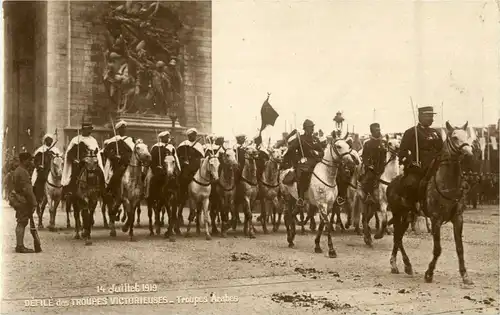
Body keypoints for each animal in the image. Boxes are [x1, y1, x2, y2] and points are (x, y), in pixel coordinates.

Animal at [388, 121, 474, 286]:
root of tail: (391, 183)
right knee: (397, 237)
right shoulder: (435, 219)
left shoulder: (458, 218)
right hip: (397, 214)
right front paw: (429, 273)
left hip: (408, 217)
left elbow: (460, 248)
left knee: (399, 236)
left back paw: (405, 265)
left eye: (467, 136)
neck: (447, 184)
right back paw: (398, 264)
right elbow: (438, 249)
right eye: (454, 137)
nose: (469, 155)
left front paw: (465, 275)